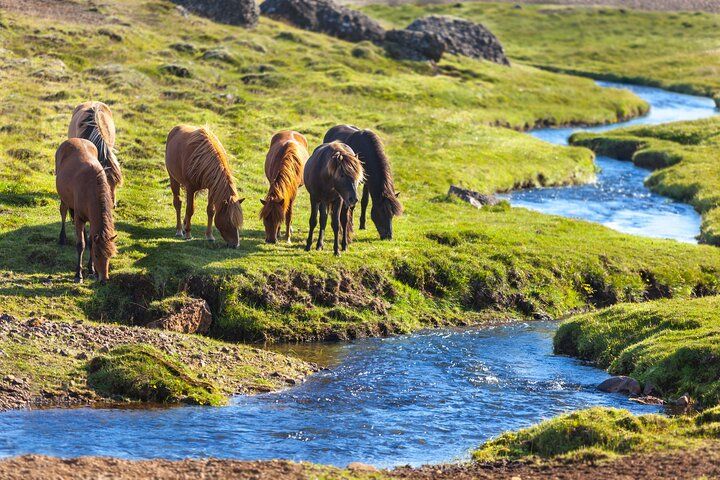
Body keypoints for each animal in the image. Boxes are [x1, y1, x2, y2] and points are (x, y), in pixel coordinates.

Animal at [55, 138, 117, 284]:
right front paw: (78, 274)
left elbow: (90, 242)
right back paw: (62, 238)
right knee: (63, 212)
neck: (91, 189)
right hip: (64, 199)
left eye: (110, 255)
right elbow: (81, 244)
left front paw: (91, 269)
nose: (104, 280)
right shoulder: (79, 218)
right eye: (97, 255)